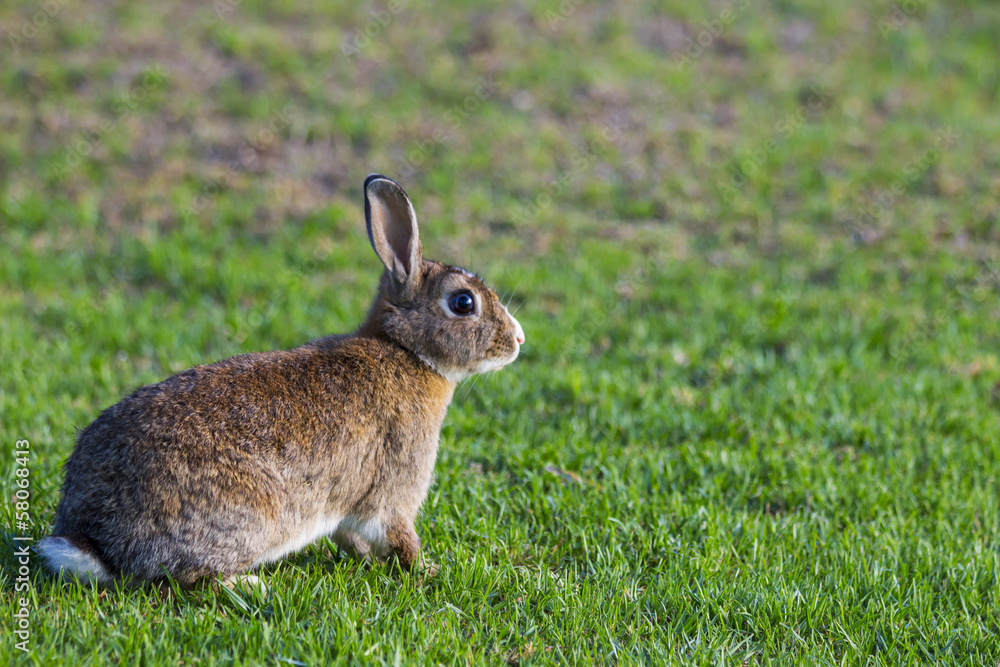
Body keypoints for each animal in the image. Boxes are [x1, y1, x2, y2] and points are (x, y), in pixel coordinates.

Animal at [38, 174, 525, 587]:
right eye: (463, 302)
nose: (518, 339)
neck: (406, 351)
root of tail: (95, 542)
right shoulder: (395, 489)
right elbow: (401, 538)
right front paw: (429, 570)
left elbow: (351, 537)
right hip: (251, 516)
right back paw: (249, 584)